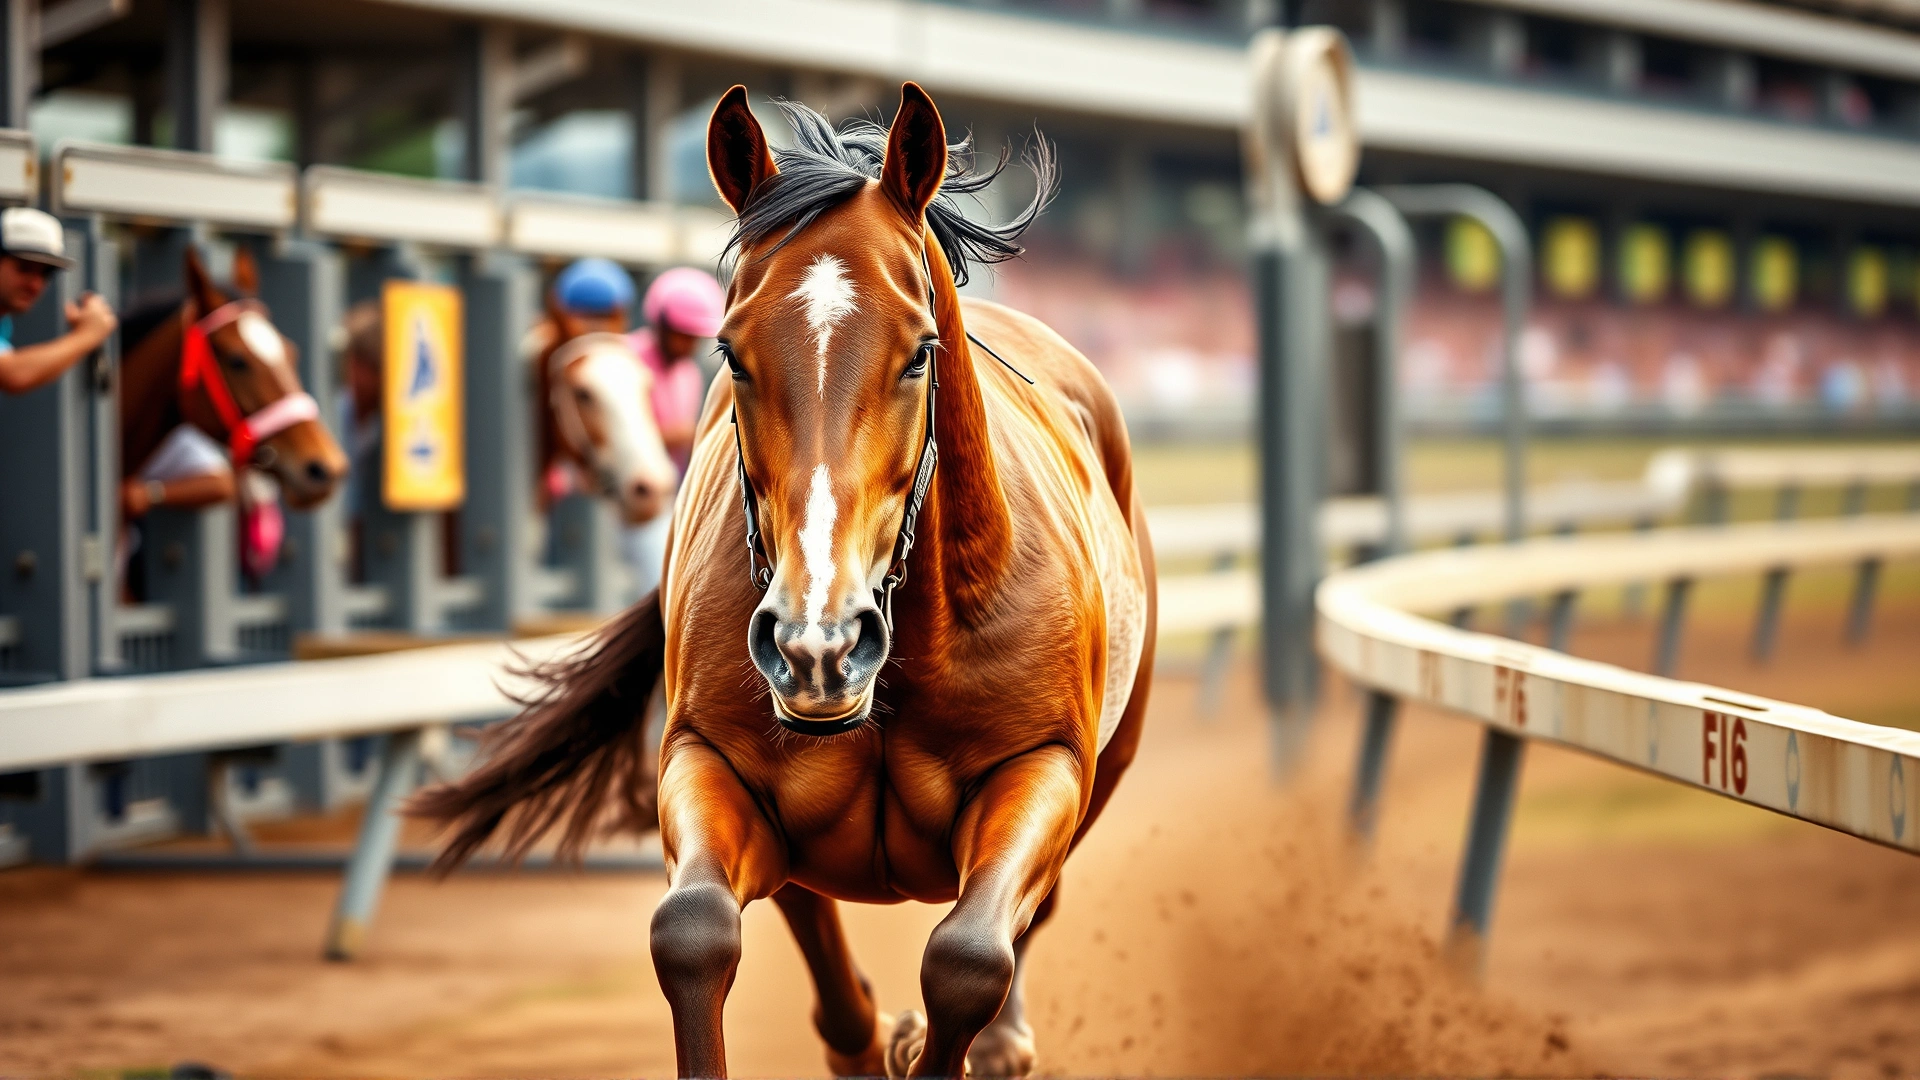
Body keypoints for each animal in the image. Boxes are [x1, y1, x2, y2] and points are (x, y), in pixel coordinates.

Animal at [418, 83, 1155, 1079]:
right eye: (732, 352)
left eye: (918, 351)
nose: (820, 644)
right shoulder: (709, 755)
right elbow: (692, 930)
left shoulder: (1047, 767)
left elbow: (969, 958)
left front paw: (956, 1038)